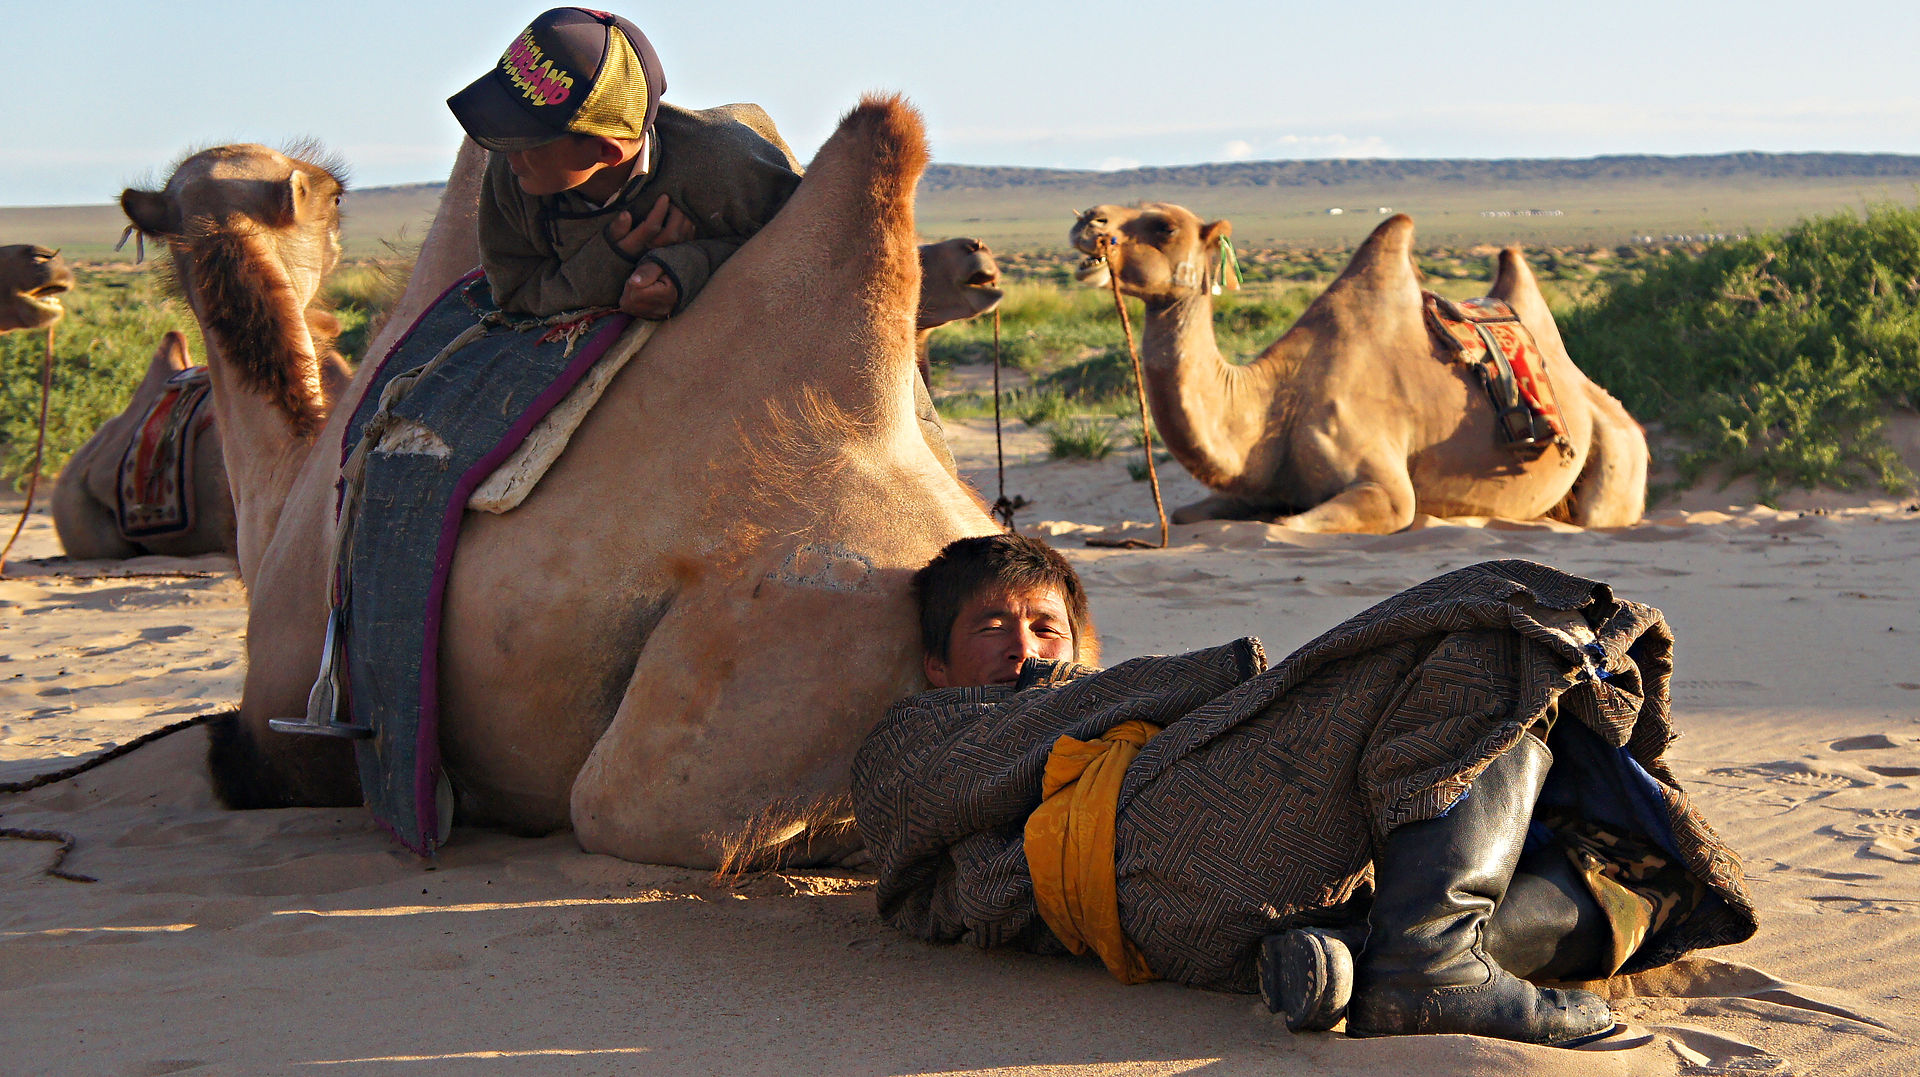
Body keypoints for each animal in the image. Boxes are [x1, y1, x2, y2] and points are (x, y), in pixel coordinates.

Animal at [1069, 204, 1647, 532]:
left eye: (1164, 226)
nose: (1088, 219)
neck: (1278, 398)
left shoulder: (1383, 487)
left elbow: (1294, 525)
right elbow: (1190, 515)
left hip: (1619, 454)